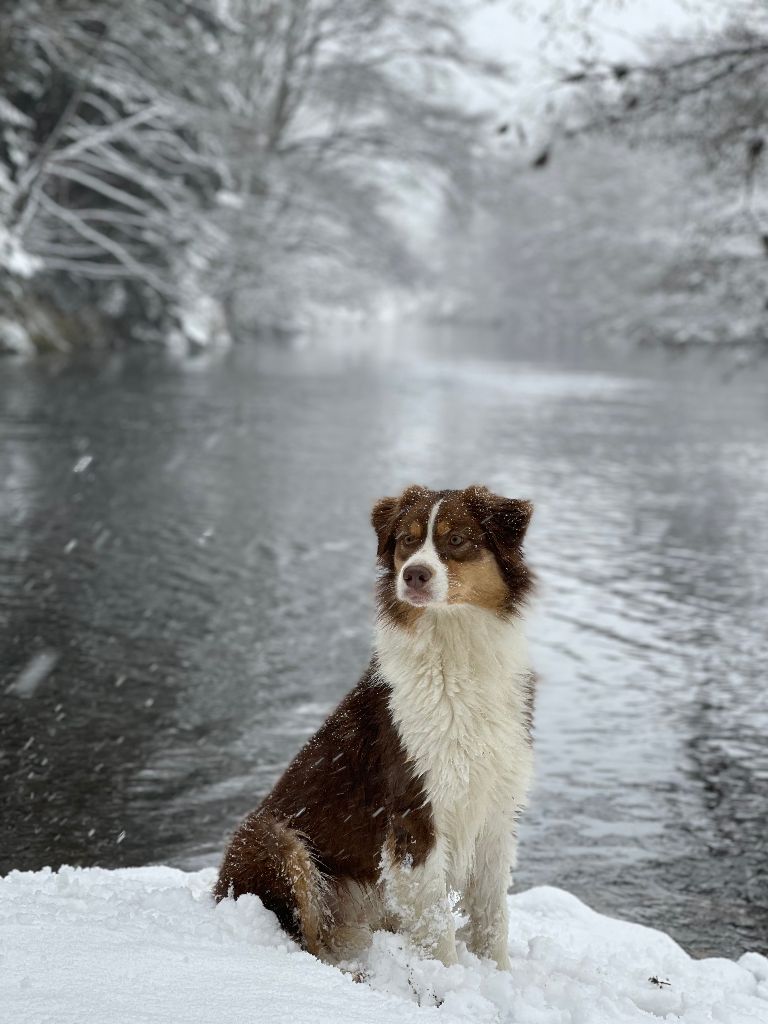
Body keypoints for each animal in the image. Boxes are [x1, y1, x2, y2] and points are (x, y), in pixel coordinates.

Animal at [210, 483, 536, 970]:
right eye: (406, 540)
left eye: (456, 539)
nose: (414, 575)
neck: (455, 655)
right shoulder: (415, 813)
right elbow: (436, 927)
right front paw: (448, 983)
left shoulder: (496, 809)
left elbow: (491, 916)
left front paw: (497, 978)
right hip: (277, 840)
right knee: (310, 940)